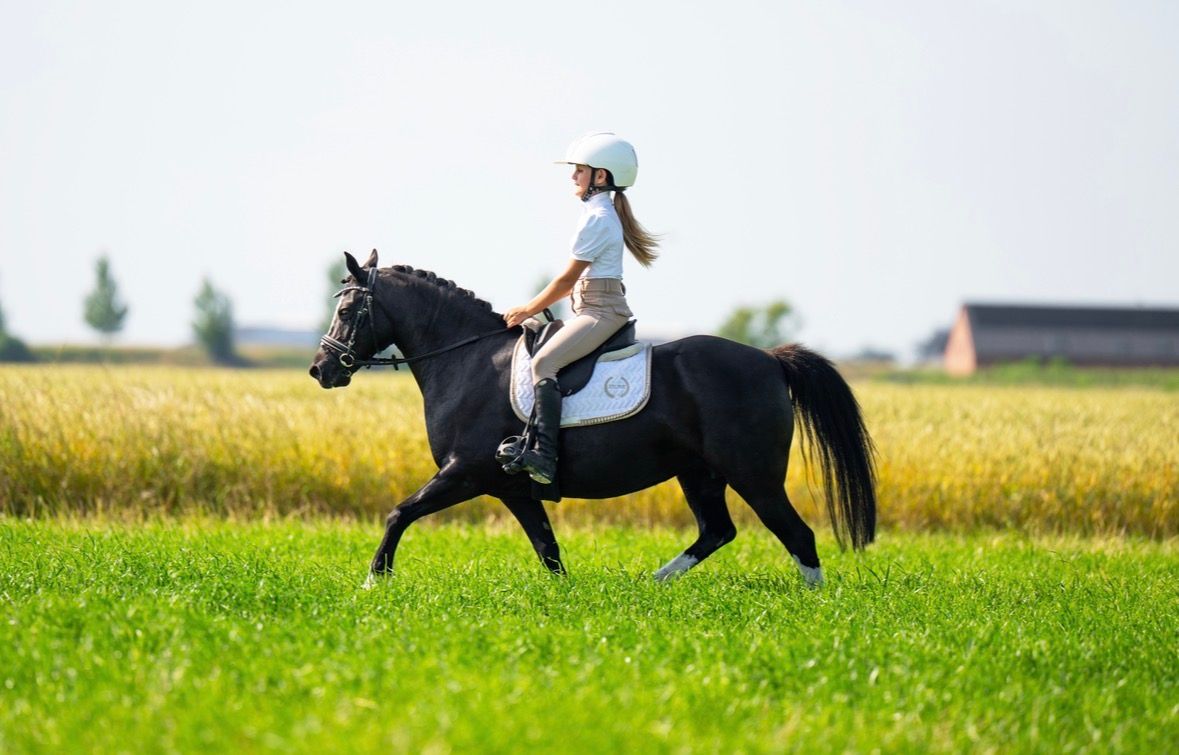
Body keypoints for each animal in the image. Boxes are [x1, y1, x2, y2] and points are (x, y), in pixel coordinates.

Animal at [309, 250, 877, 586]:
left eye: (347, 310)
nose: (321, 369)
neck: (467, 357)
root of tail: (769, 360)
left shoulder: (464, 473)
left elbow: (399, 513)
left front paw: (373, 582)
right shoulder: (511, 489)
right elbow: (549, 551)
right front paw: (566, 602)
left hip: (753, 474)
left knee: (797, 536)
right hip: (699, 473)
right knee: (718, 530)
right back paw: (653, 583)